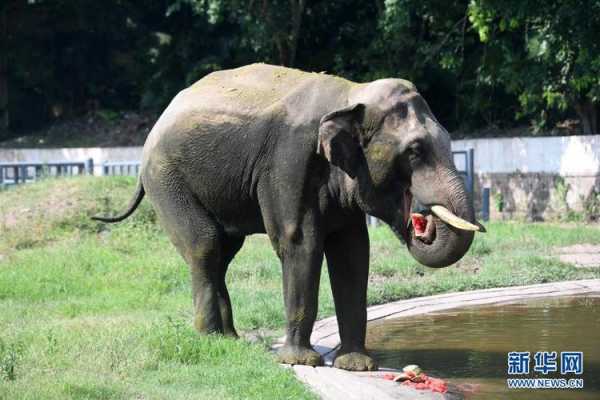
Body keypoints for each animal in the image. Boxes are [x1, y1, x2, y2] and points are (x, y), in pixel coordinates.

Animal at [96, 63, 486, 372]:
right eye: (415, 151)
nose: (422, 221)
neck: (351, 94)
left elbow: (352, 253)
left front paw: (356, 365)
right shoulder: (289, 161)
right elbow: (300, 242)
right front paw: (301, 361)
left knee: (224, 251)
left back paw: (230, 340)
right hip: (166, 179)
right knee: (205, 246)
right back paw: (210, 340)